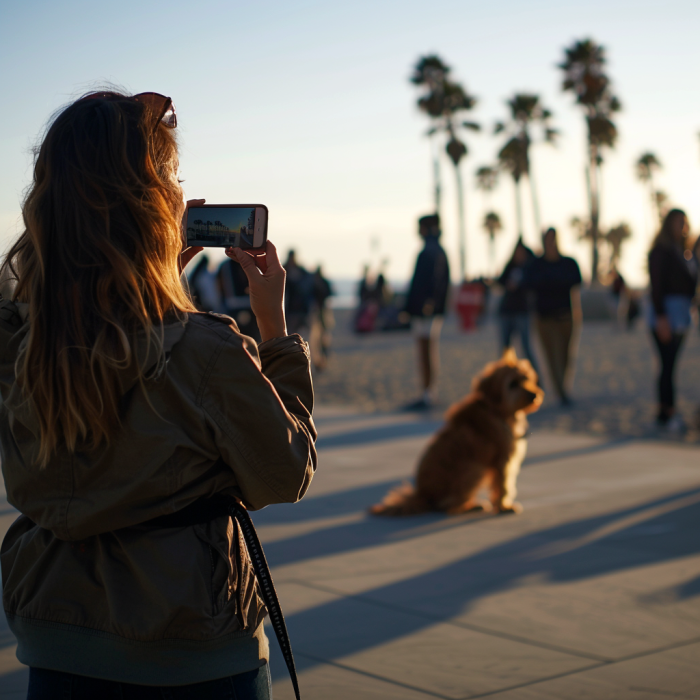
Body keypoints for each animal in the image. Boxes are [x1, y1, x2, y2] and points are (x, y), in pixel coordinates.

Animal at [370, 348, 544, 516]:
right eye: (512, 384)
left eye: (527, 378)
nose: (534, 395)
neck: (496, 410)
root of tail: (423, 495)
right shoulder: (502, 459)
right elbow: (504, 485)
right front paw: (503, 506)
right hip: (474, 469)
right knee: (446, 505)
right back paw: (470, 506)